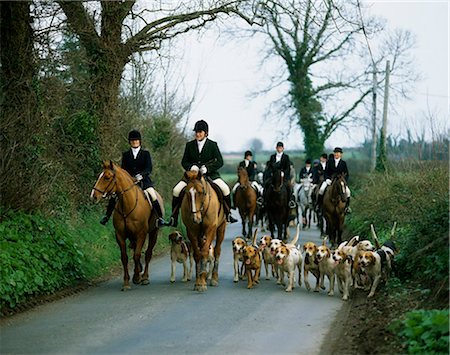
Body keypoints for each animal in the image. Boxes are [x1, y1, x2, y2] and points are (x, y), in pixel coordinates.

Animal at [90, 160, 163, 290]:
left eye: (107, 177)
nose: (93, 196)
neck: (127, 203)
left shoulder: (141, 234)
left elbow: (137, 255)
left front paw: (137, 277)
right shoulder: (120, 235)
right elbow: (124, 257)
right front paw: (126, 282)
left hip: (153, 232)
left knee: (148, 253)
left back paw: (144, 277)